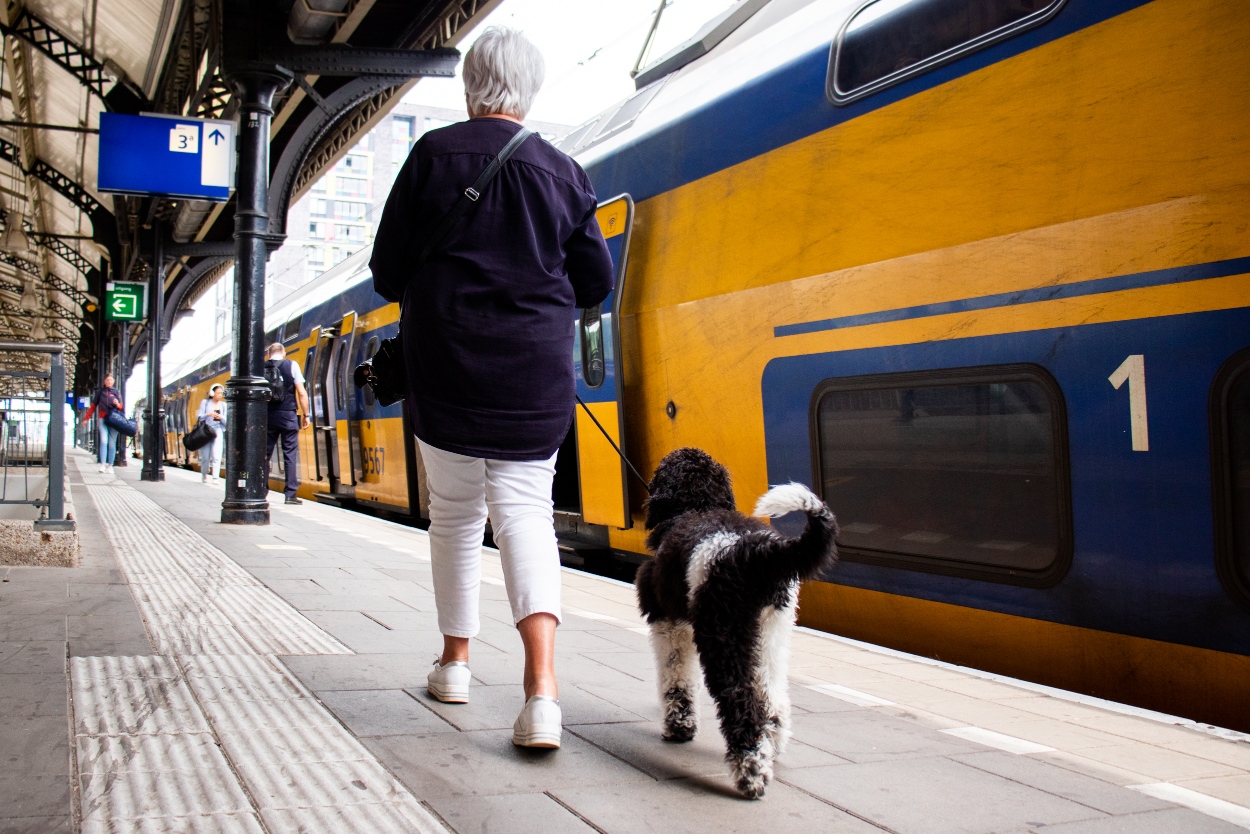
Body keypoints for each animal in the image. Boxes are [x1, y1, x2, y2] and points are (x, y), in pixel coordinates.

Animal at [640, 447, 835, 800]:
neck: (697, 507)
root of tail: (755, 551)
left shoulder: (667, 622)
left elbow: (676, 679)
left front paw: (679, 727)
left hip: (724, 636)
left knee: (740, 700)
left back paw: (751, 772)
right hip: (771, 632)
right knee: (771, 695)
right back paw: (771, 746)